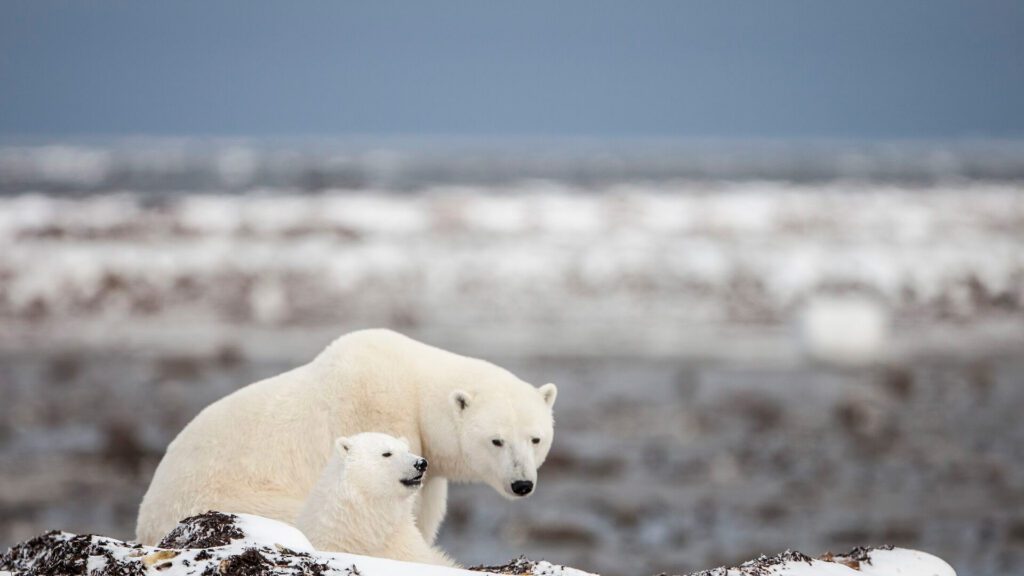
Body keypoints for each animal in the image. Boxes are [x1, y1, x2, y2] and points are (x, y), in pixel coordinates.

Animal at [136, 329, 557, 546]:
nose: (521, 484)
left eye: (535, 439)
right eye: (496, 440)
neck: (413, 384)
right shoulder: (378, 410)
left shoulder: (429, 466)